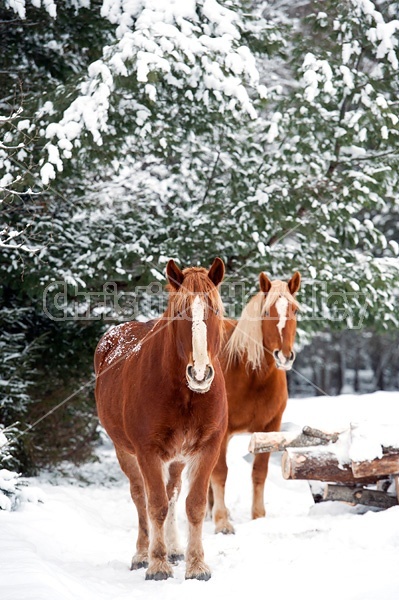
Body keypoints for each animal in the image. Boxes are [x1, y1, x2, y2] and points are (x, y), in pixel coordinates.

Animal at [94, 258, 230, 580]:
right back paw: (142, 554)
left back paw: (175, 548)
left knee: (173, 493)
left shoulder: (207, 448)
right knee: (140, 497)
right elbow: (154, 505)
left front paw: (196, 565)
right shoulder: (147, 451)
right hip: (125, 452)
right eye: (181, 312)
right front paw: (157, 563)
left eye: (216, 311)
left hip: (177, 458)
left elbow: (193, 505)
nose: (200, 373)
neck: (186, 394)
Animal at [211, 272, 302, 536]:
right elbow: (220, 473)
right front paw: (222, 522)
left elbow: (259, 472)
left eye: (294, 310)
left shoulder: (270, 428)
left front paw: (258, 516)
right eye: (266, 311)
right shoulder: (222, 431)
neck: (251, 375)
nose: (284, 356)